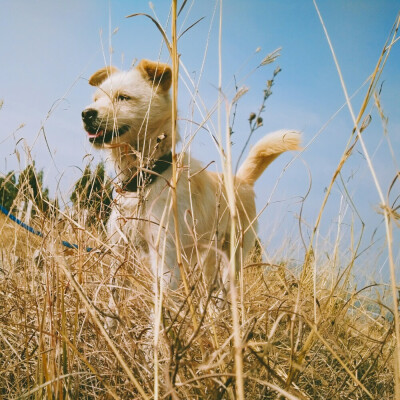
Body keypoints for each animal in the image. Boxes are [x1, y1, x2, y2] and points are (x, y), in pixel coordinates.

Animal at [82, 59, 300, 318]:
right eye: (96, 99)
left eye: (123, 97)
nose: (86, 114)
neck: (145, 180)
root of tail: (242, 181)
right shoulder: (119, 250)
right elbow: (114, 298)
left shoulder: (165, 259)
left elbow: (160, 305)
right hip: (209, 258)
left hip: (232, 258)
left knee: (224, 290)